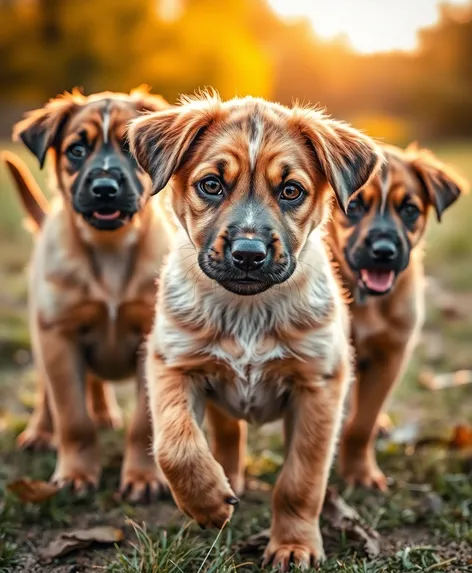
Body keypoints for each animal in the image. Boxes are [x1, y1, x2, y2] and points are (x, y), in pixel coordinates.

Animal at [128, 94, 384, 568]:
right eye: (211, 185)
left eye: (291, 191)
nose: (249, 253)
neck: (247, 310)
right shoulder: (172, 362)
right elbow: (176, 444)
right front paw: (207, 501)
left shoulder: (319, 385)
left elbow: (300, 481)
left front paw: (294, 545)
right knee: (226, 432)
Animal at [330, 143, 466, 488]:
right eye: (353, 206)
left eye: (409, 210)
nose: (383, 251)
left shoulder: (390, 354)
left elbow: (362, 424)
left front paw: (360, 473)